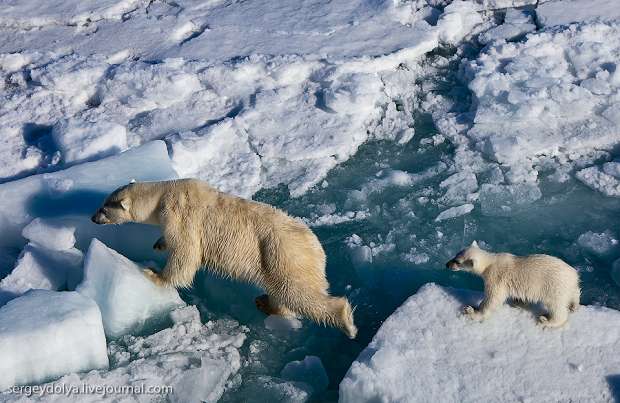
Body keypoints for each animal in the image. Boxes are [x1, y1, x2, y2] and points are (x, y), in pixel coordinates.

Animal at [89, 178, 356, 340]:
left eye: (104, 207)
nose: (92, 218)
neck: (164, 195)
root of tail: (317, 248)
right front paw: (159, 243)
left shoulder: (182, 215)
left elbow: (185, 254)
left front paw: (155, 275)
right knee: (282, 291)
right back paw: (265, 303)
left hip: (283, 253)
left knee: (298, 292)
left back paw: (346, 322)